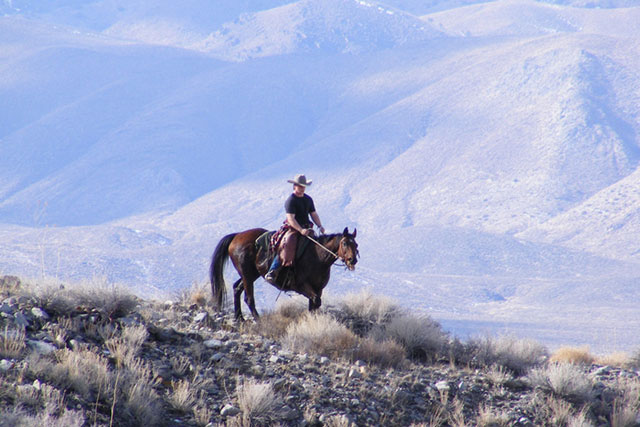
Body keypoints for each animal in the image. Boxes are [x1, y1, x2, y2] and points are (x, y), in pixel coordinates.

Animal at [212, 227, 358, 320]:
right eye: (345, 243)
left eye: (356, 245)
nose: (353, 260)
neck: (318, 257)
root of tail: (236, 236)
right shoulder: (302, 285)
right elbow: (315, 301)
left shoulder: (318, 289)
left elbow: (314, 304)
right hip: (247, 274)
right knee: (249, 298)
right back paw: (258, 320)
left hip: (251, 274)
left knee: (237, 288)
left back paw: (239, 318)